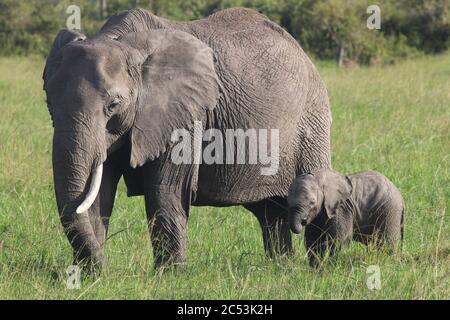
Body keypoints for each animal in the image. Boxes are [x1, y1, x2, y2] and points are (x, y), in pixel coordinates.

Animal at [43, 6, 330, 268]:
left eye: (114, 105)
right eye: (49, 102)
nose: (106, 267)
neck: (125, 42)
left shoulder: (184, 114)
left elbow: (165, 189)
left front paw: (170, 275)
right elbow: (98, 191)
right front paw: (90, 275)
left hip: (312, 121)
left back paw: (321, 266)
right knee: (270, 212)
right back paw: (281, 267)